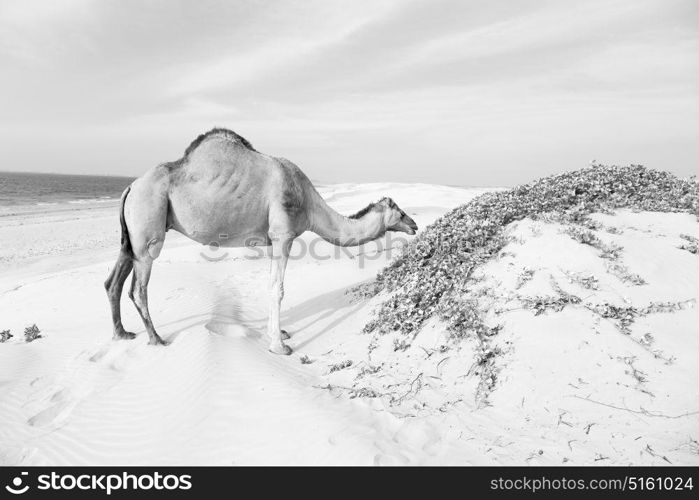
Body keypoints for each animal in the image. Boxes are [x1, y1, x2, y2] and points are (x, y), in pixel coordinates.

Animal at [104, 129, 416, 356]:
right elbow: (278, 288)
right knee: (138, 288)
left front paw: (277, 333)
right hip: (148, 231)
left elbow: (270, 283)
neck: (308, 202)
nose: (413, 225)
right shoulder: (283, 234)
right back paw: (156, 339)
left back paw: (122, 333)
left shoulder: (272, 240)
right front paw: (280, 345)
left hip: (129, 239)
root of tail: (130, 187)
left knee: (113, 281)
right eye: (400, 211)